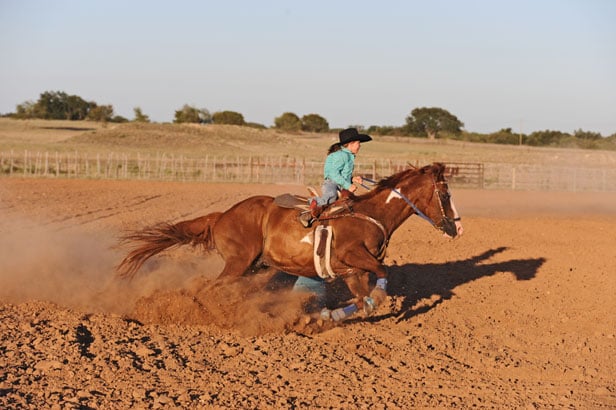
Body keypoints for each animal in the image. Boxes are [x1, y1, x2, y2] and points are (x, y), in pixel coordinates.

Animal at [118, 163, 460, 320]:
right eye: (445, 194)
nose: (456, 228)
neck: (371, 214)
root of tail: (221, 216)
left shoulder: (352, 273)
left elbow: (363, 300)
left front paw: (330, 316)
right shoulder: (354, 256)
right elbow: (383, 275)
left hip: (260, 268)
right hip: (238, 263)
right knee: (208, 288)